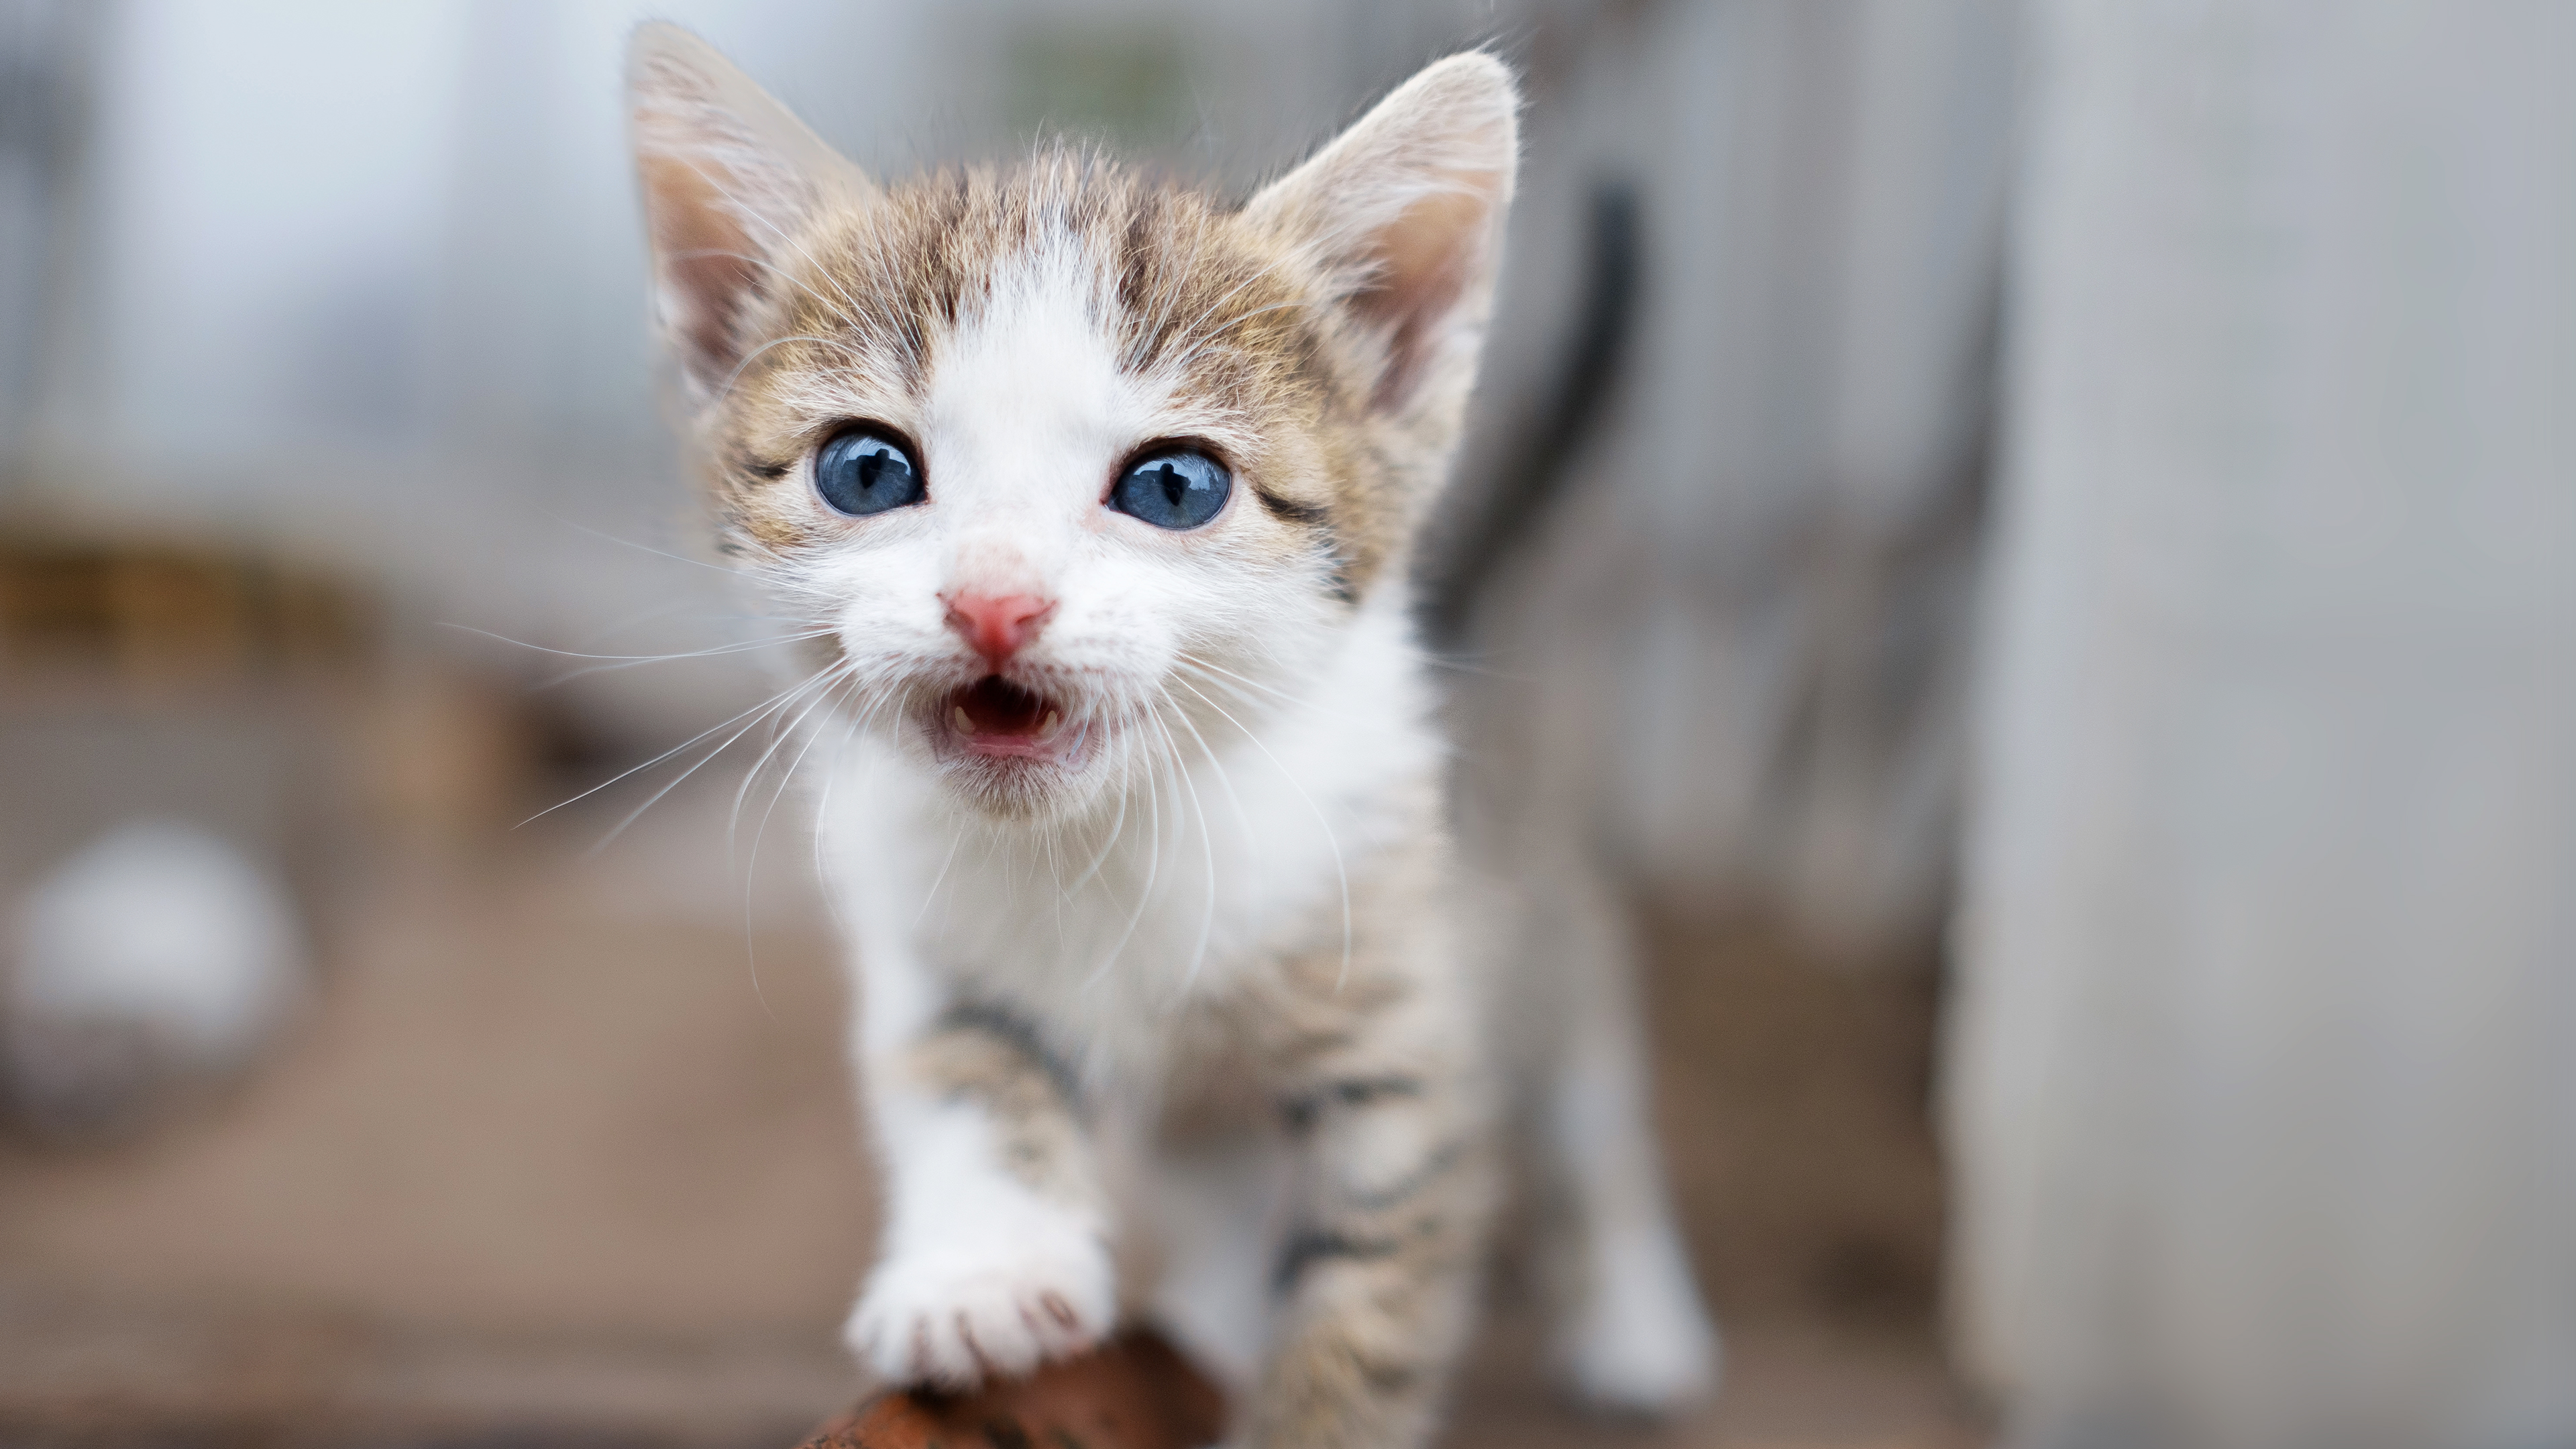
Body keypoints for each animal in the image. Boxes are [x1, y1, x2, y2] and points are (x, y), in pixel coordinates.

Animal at [623, 25, 1710, 1444]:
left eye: (1174, 487)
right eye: (866, 471)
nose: (995, 601)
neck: (1107, 840)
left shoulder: (1406, 1012)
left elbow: (1369, 1292)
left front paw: (1309, 1414)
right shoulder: (930, 940)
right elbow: (967, 1078)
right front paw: (983, 1273)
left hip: (1533, 896)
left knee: (1595, 1102)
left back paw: (1637, 1314)